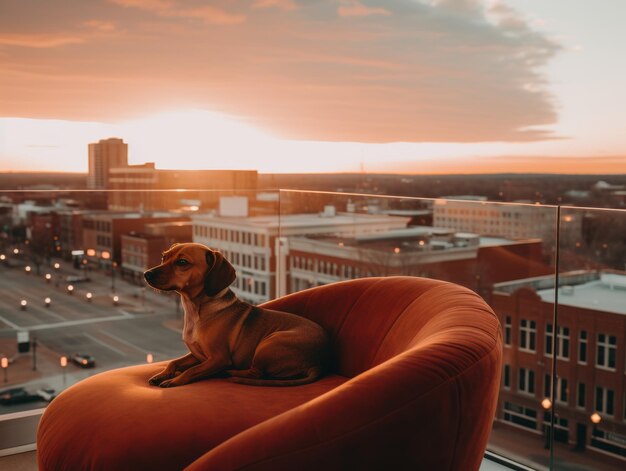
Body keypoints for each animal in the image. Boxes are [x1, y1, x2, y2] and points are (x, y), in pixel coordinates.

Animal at [144, 243, 330, 388]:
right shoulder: (197, 355)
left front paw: (175, 380)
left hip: (269, 343)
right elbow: (174, 362)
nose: (146, 274)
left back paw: (229, 372)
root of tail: (318, 362)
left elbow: (192, 370)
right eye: (164, 257)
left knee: (257, 373)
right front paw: (163, 374)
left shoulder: (218, 359)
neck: (196, 310)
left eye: (182, 262)